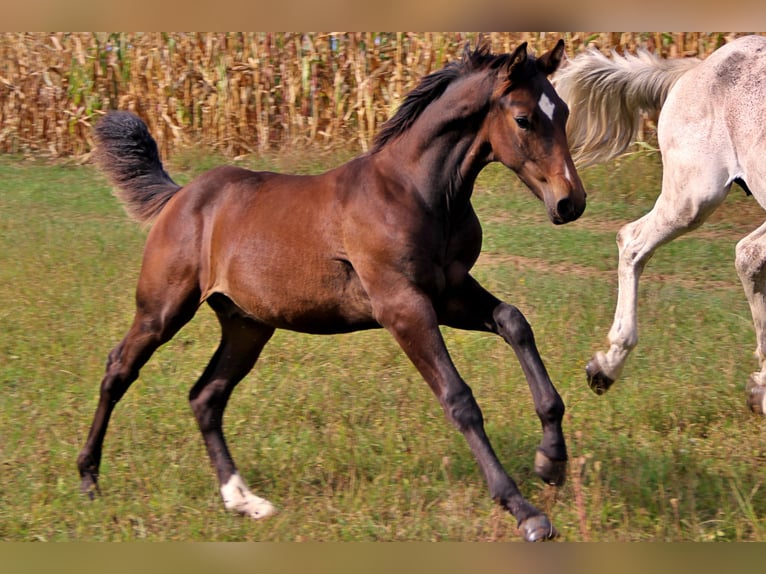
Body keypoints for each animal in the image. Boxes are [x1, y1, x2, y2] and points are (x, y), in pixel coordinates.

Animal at [78, 39, 588, 540]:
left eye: (563, 110)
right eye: (523, 118)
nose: (571, 202)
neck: (419, 192)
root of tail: (179, 196)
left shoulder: (449, 292)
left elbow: (514, 321)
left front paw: (551, 460)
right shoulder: (401, 304)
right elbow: (459, 398)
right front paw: (525, 511)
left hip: (247, 325)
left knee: (206, 396)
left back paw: (244, 501)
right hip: (162, 308)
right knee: (119, 369)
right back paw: (89, 479)